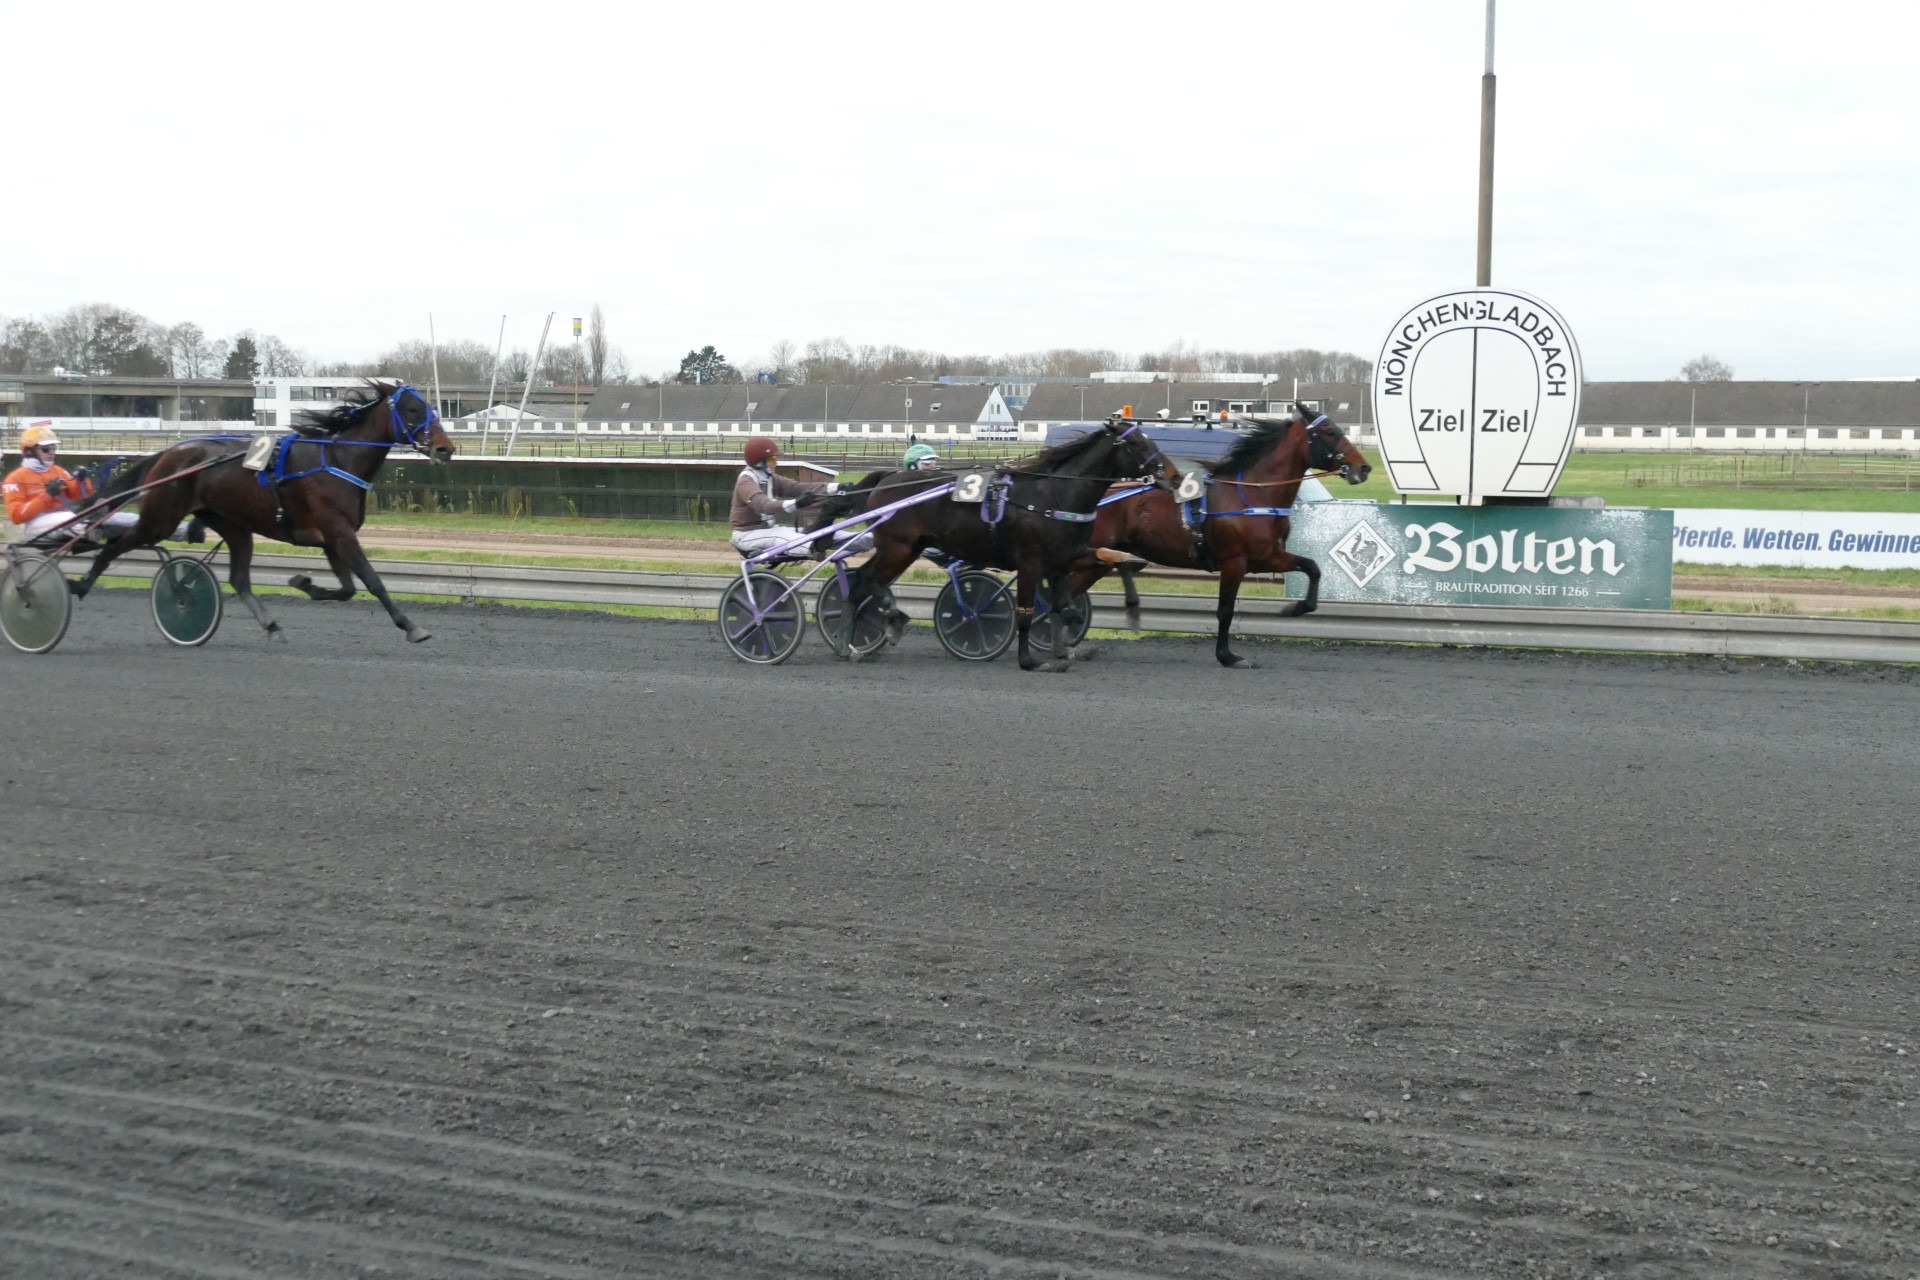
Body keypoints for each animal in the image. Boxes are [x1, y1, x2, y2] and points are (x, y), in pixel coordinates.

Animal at [71, 381, 456, 643]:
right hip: (160, 519)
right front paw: (411, 627)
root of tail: (169, 453)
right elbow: (373, 581)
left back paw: (270, 624)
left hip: (234, 526)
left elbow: (347, 588)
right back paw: (80, 585)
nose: (445, 448)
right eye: (412, 410)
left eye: (432, 408)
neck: (337, 460)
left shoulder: (332, 539)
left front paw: (304, 583)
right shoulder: (339, 533)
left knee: (239, 580)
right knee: (113, 546)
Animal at [815, 419, 1176, 672]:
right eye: (1136, 444)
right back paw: (876, 627)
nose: (1173, 476)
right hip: (898, 548)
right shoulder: (1030, 561)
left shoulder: (1062, 559)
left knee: (863, 583)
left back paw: (856, 641)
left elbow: (1068, 600)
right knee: (865, 581)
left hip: (906, 550)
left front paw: (1066, 646)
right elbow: (1026, 613)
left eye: (1149, 440)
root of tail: (886, 478)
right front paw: (1030, 660)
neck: (1054, 496)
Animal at [1069, 407, 1371, 669]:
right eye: (1329, 430)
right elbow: (1225, 611)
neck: (1254, 494)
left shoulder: (1267, 557)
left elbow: (1312, 567)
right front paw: (1227, 656)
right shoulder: (1234, 562)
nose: (1363, 467)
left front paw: (1295, 609)